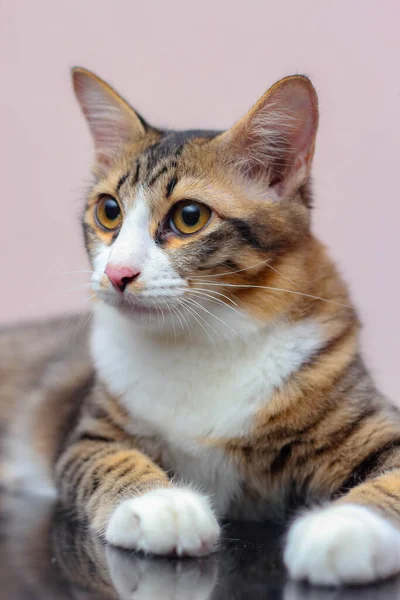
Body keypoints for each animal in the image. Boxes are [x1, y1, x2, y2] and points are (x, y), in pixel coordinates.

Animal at [0, 67, 400, 584]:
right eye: (108, 211)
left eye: (189, 217)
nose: (117, 274)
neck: (203, 334)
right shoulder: (89, 433)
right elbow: (110, 461)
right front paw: (161, 505)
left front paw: (347, 528)